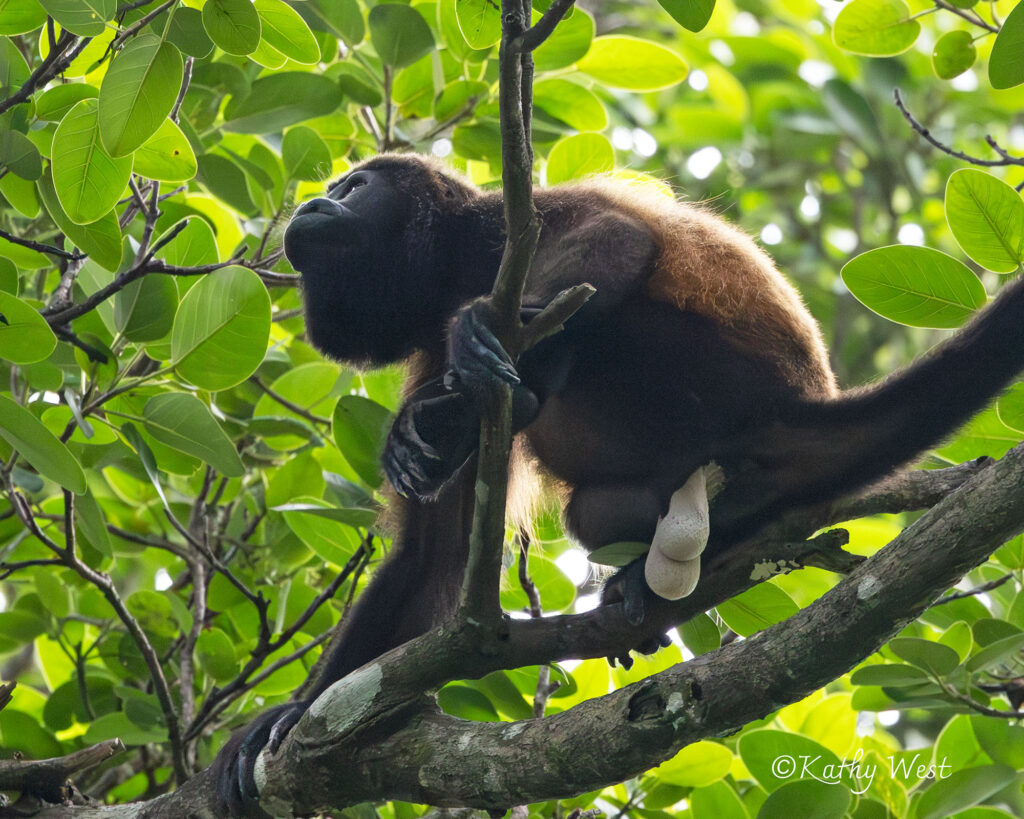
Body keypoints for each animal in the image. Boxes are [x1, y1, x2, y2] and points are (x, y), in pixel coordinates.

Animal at [214, 153, 1024, 815]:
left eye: (353, 187)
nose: (312, 204)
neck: (451, 271)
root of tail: (798, 410)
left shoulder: (518, 222)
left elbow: (615, 238)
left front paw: (478, 340)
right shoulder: (426, 344)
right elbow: (432, 558)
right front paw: (289, 717)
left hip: (697, 380)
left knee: (604, 312)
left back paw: (503, 395)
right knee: (594, 509)